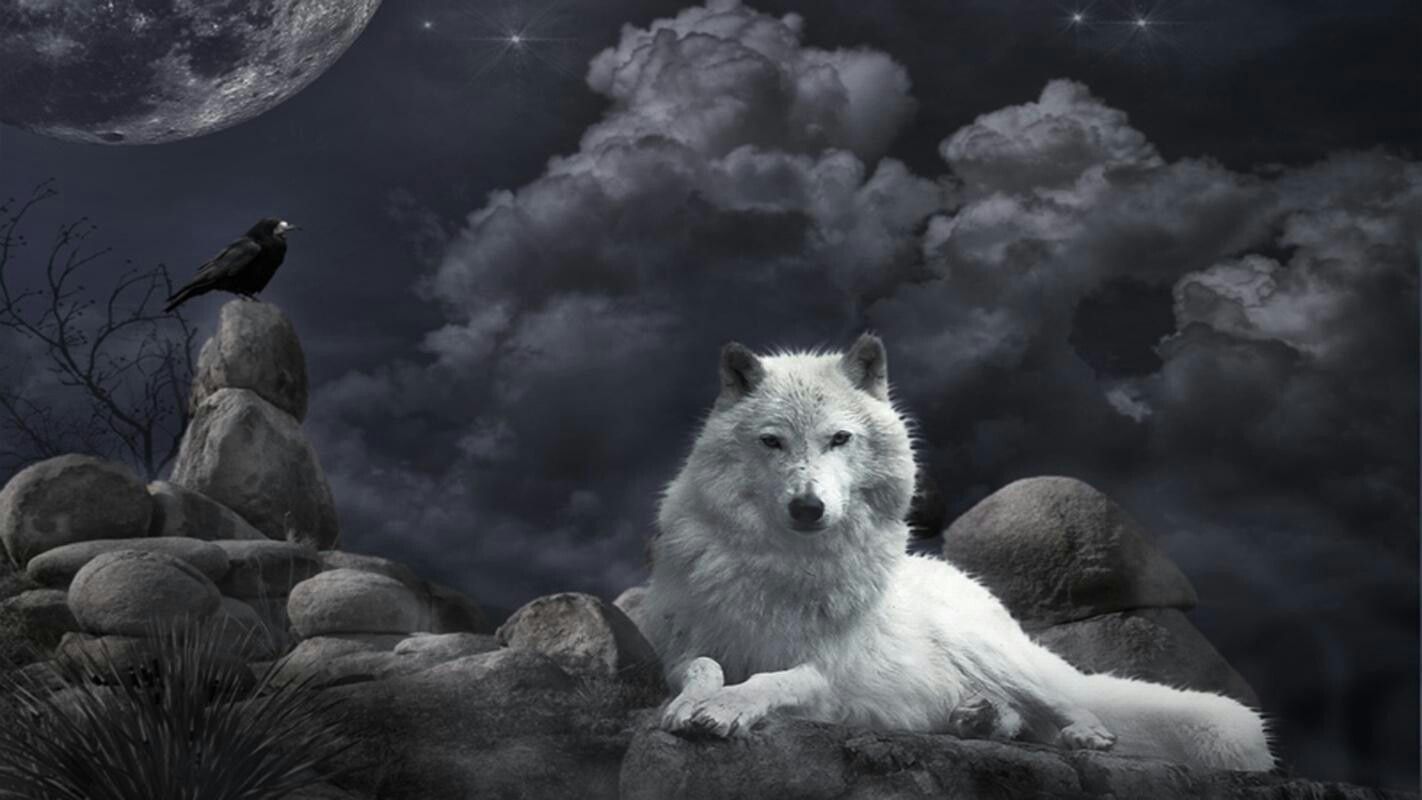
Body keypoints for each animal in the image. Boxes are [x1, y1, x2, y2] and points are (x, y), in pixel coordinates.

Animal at [638, 333, 1274, 771]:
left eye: (839, 438)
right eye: (772, 442)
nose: (808, 508)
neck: (784, 566)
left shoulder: (829, 673)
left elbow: (773, 680)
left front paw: (725, 708)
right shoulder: (682, 646)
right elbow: (703, 667)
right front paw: (690, 704)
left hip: (994, 651)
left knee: (1063, 703)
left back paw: (1081, 733)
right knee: (1020, 720)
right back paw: (976, 717)